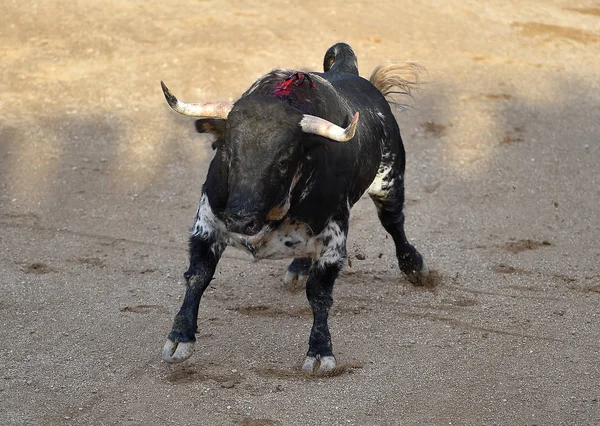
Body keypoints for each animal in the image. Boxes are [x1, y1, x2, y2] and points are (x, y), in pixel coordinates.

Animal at [162, 41, 428, 372]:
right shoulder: (208, 221)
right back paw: (299, 267)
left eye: (284, 160)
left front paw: (320, 352)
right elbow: (198, 275)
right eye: (226, 153)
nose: (240, 220)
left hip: (389, 181)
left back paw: (414, 267)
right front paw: (180, 338)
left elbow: (319, 293)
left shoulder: (334, 239)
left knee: (394, 222)